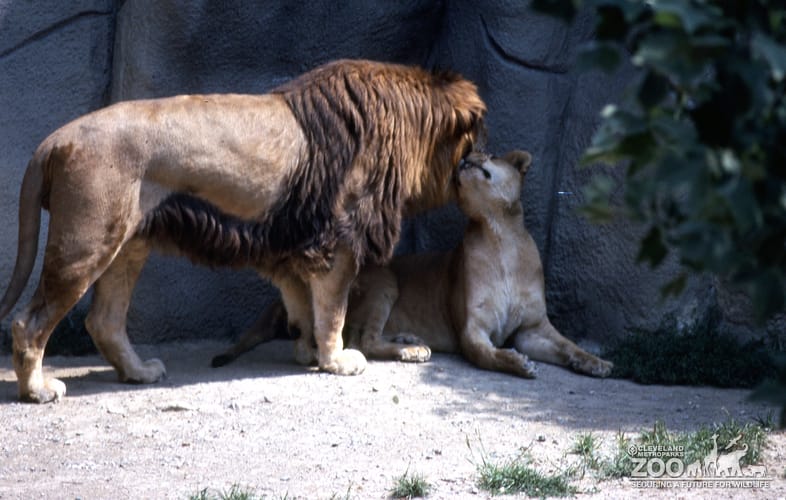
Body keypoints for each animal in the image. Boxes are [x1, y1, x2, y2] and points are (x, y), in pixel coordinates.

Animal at [0, 59, 485, 403]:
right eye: (474, 138)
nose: (478, 161)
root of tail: (54, 139)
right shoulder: (338, 243)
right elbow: (333, 311)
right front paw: (336, 360)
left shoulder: (291, 250)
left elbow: (304, 308)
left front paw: (309, 354)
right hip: (87, 241)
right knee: (29, 321)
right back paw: (37, 391)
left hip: (126, 246)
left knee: (103, 321)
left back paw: (138, 372)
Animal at [213, 151, 613, 378]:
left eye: (490, 154)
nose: (466, 156)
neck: (502, 239)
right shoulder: (471, 330)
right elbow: (489, 355)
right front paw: (518, 364)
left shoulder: (532, 327)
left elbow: (567, 346)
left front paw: (596, 364)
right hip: (384, 279)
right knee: (362, 340)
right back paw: (412, 350)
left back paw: (408, 338)